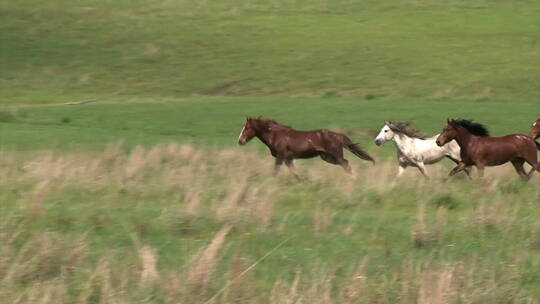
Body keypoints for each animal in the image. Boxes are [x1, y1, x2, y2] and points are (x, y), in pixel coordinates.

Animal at [238, 117, 374, 176]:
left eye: (247, 128)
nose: (240, 141)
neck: (276, 135)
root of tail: (338, 135)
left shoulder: (281, 156)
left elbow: (275, 171)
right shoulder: (288, 159)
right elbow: (295, 173)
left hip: (336, 155)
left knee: (346, 164)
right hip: (327, 157)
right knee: (346, 163)